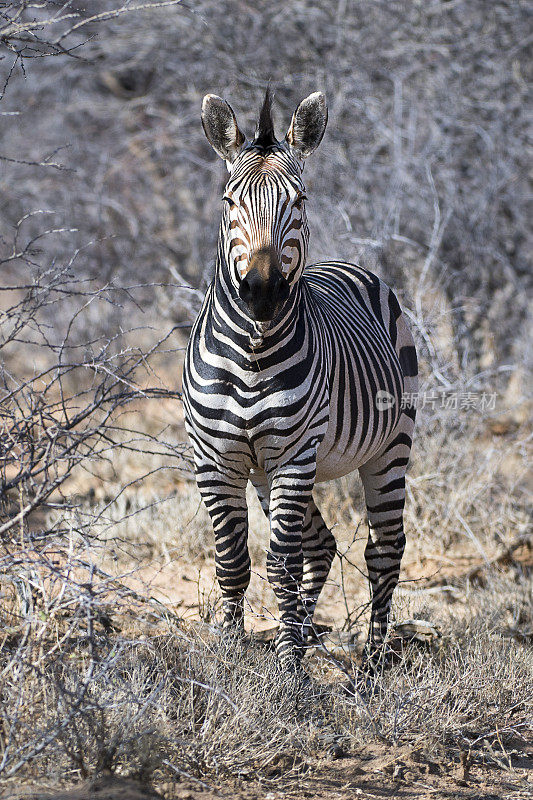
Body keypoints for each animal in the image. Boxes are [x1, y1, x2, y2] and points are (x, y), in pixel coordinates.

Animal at [181, 87, 418, 672]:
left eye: (301, 201)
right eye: (229, 203)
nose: (262, 291)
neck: (253, 350)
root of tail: (347, 265)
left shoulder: (294, 455)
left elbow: (281, 562)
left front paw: (290, 667)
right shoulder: (214, 459)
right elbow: (233, 560)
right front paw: (232, 650)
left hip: (390, 446)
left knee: (384, 547)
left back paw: (372, 659)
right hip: (269, 473)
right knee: (323, 543)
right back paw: (309, 631)